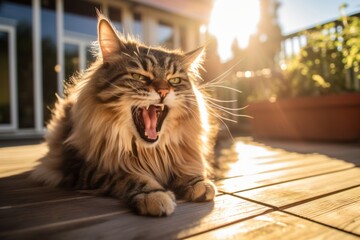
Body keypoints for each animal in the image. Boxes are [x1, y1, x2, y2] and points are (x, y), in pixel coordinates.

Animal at [31, 13, 218, 218]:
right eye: (139, 77)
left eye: (174, 80)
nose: (163, 91)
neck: (150, 152)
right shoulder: (87, 166)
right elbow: (131, 177)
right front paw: (153, 195)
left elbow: (185, 168)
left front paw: (197, 182)